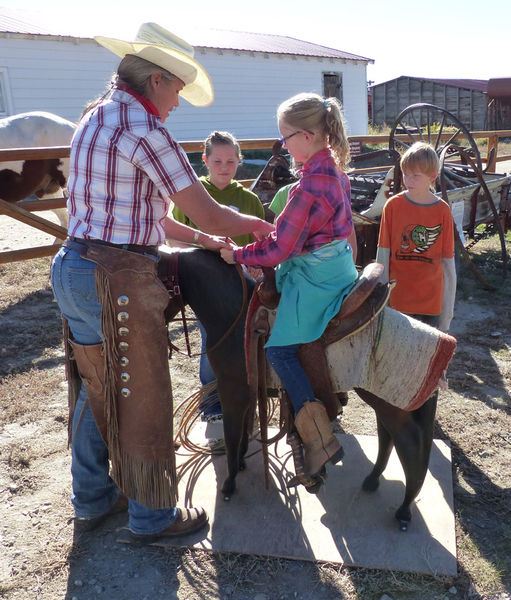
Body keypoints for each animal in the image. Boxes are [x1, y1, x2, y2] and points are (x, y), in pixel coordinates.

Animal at [164, 246, 444, 528]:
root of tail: (441, 340)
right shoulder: (247, 391)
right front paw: (242, 463)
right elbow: (243, 431)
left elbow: (233, 435)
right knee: (387, 437)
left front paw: (229, 484)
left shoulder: (232, 390)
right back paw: (372, 480)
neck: (235, 317)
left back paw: (404, 509)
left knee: (410, 444)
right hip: (384, 400)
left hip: (393, 404)